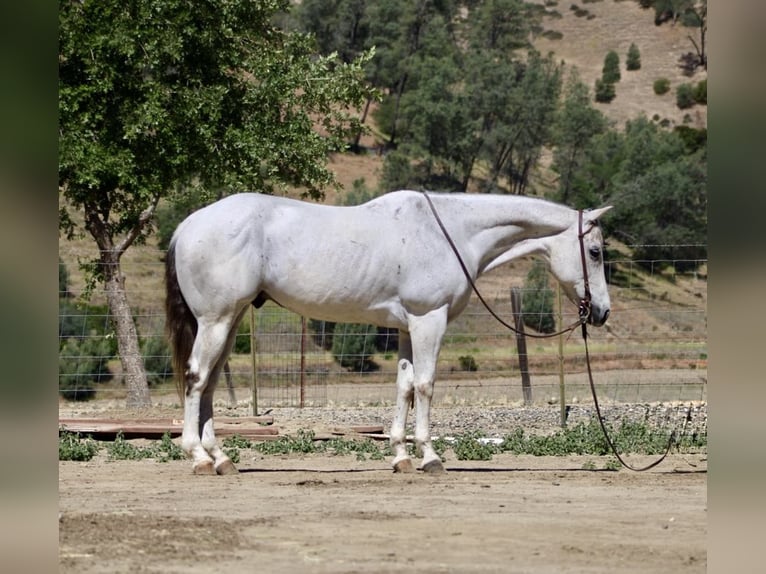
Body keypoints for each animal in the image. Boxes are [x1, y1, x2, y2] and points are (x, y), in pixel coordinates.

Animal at [165, 190, 612, 475]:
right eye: (594, 252)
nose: (602, 312)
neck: (451, 231)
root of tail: (187, 226)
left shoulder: (407, 327)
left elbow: (405, 386)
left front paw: (400, 456)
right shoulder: (430, 319)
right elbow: (427, 385)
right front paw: (430, 456)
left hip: (229, 320)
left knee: (209, 383)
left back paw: (221, 459)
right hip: (217, 320)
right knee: (196, 378)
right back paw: (200, 458)